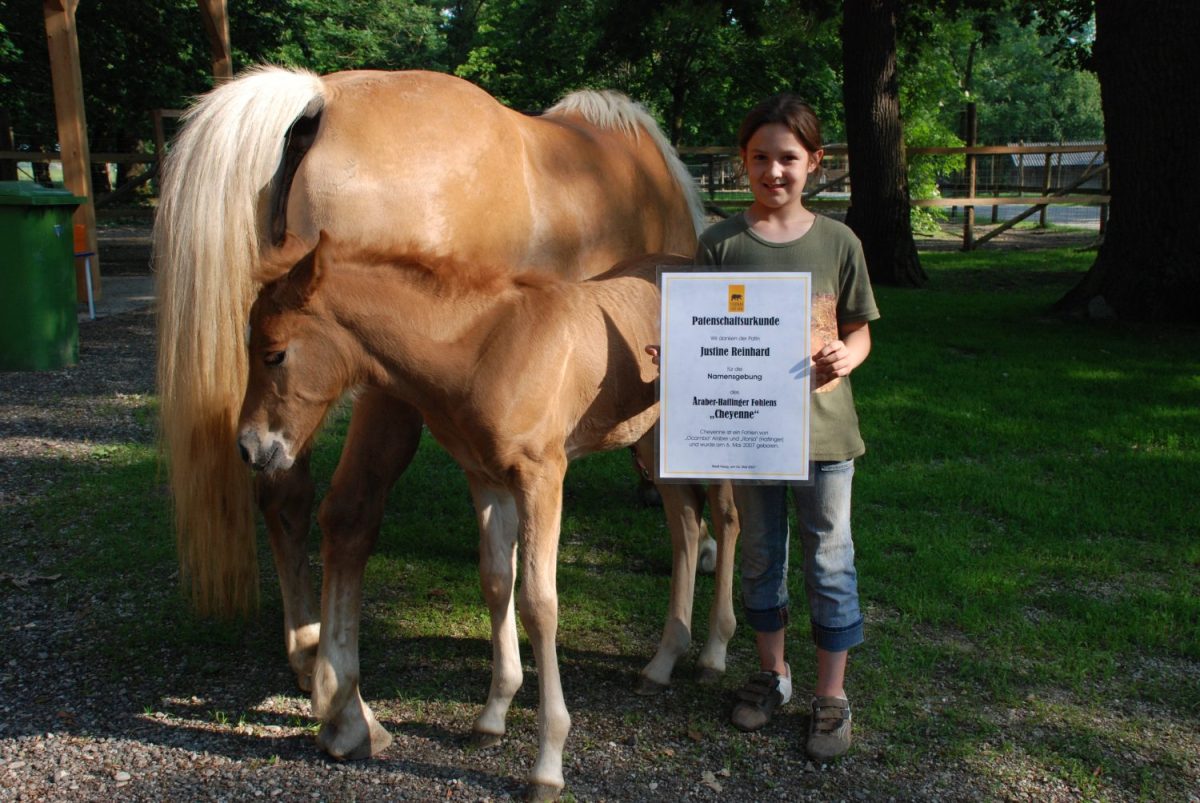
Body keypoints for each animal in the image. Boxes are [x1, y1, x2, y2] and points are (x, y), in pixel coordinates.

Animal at [152, 64, 710, 739]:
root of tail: (319, 101)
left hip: (292, 418)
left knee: (285, 499)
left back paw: (308, 656)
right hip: (379, 399)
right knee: (348, 516)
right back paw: (348, 712)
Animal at [237, 236, 734, 796]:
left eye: (275, 353)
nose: (249, 448)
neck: (485, 350)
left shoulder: (543, 477)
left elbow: (540, 604)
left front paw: (548, 765)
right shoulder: (486, 478)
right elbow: (497, 582)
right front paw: (493, 717)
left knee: (727, 519)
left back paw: (714, 654)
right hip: (652, 441)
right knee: (685, 526)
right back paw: (663, 661)